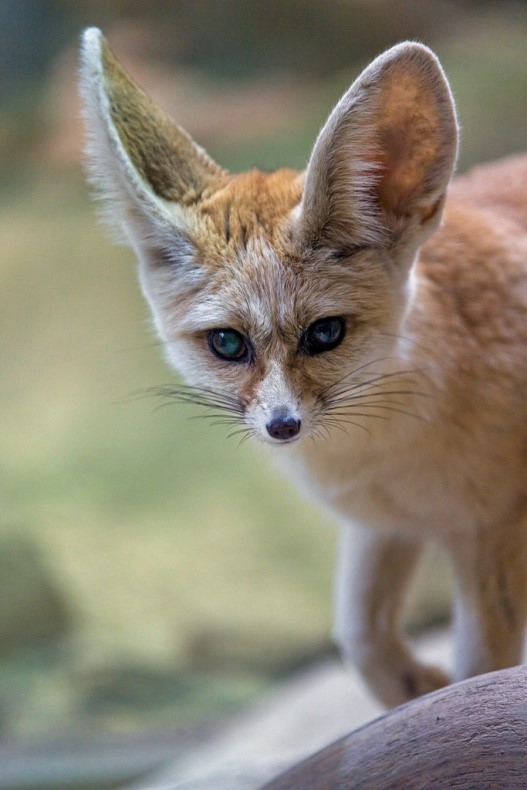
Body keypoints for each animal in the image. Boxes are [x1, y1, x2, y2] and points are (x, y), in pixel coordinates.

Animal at [78, 29, 527, 712]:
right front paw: (413, 688)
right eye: (228, 344)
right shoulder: (381, 523)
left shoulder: (493, 531)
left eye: (324, 334)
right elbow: (358, 636)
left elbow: (480, 666)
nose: (283, 426)